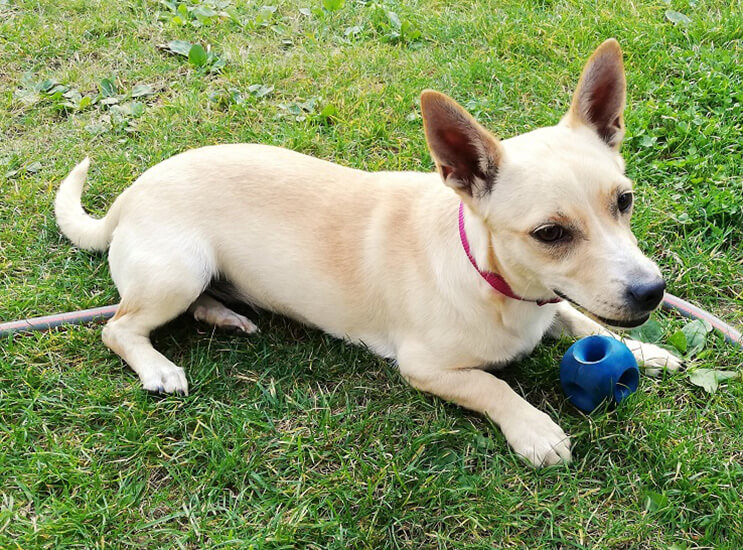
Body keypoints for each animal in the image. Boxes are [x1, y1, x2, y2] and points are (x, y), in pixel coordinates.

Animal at [55, 39, 681, 466]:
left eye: (624, 201)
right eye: (550, 234)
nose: (652, 291)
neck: (498, 285)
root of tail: (131, 193)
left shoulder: (556, 306)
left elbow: (579, 318)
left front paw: (643, 351)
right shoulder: (425, 367)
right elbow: (492, 384)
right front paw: (534, 428)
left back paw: (227, 316)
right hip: (178, 272)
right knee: (119, 327)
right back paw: (159, 366)